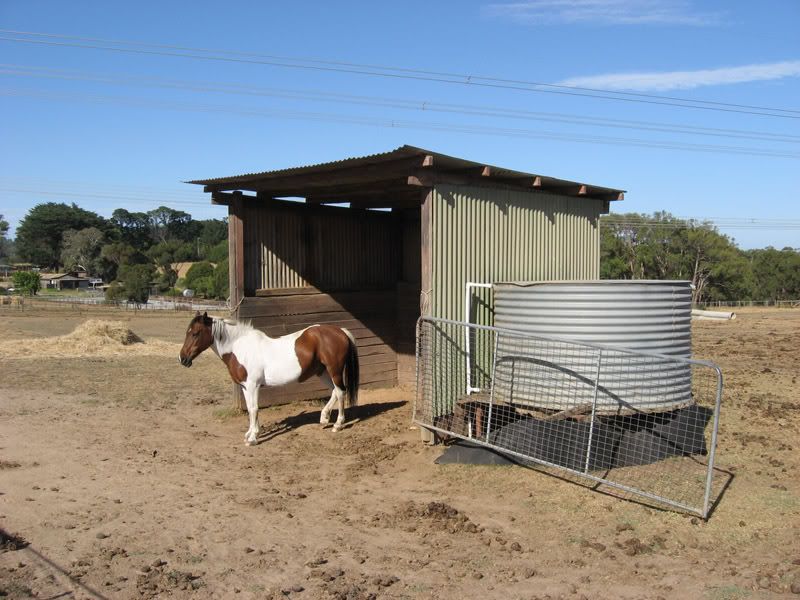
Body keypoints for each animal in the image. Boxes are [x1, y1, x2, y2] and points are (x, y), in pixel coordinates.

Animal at [181, 312, 360, 442]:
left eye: (195, 333)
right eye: (187, 332)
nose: (182, 359)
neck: (241, 348)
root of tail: (341, 331)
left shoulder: (253, 385)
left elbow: (254, 408)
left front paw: (253, 438)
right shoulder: (245, 386)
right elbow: (250, 408)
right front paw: (251, 433)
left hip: (334, 371)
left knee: (341, 392)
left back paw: (338, 424)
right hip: (322, 372)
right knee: (335, 392)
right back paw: (324, 418)